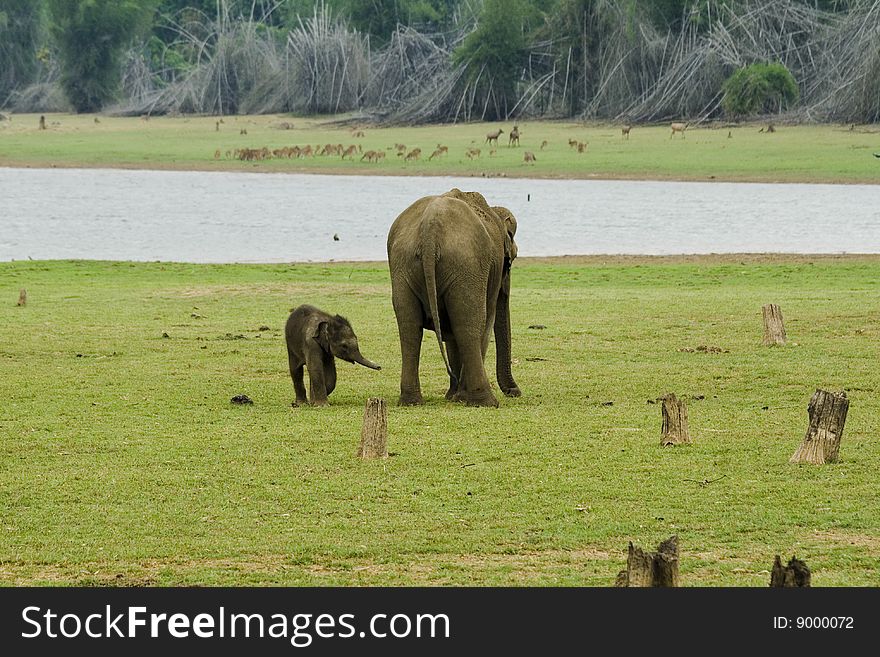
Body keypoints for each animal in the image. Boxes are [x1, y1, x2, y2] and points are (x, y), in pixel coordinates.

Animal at [386, 186, 524, 404]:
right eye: (509, 262)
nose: (514, 392)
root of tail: (429, 229)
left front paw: (454, 396)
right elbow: (485, 321)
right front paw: (460, 396)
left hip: (402, 265)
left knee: (409, 327)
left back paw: (411, 401)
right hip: (466, 266)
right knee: (469, 323)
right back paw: (486, 401)